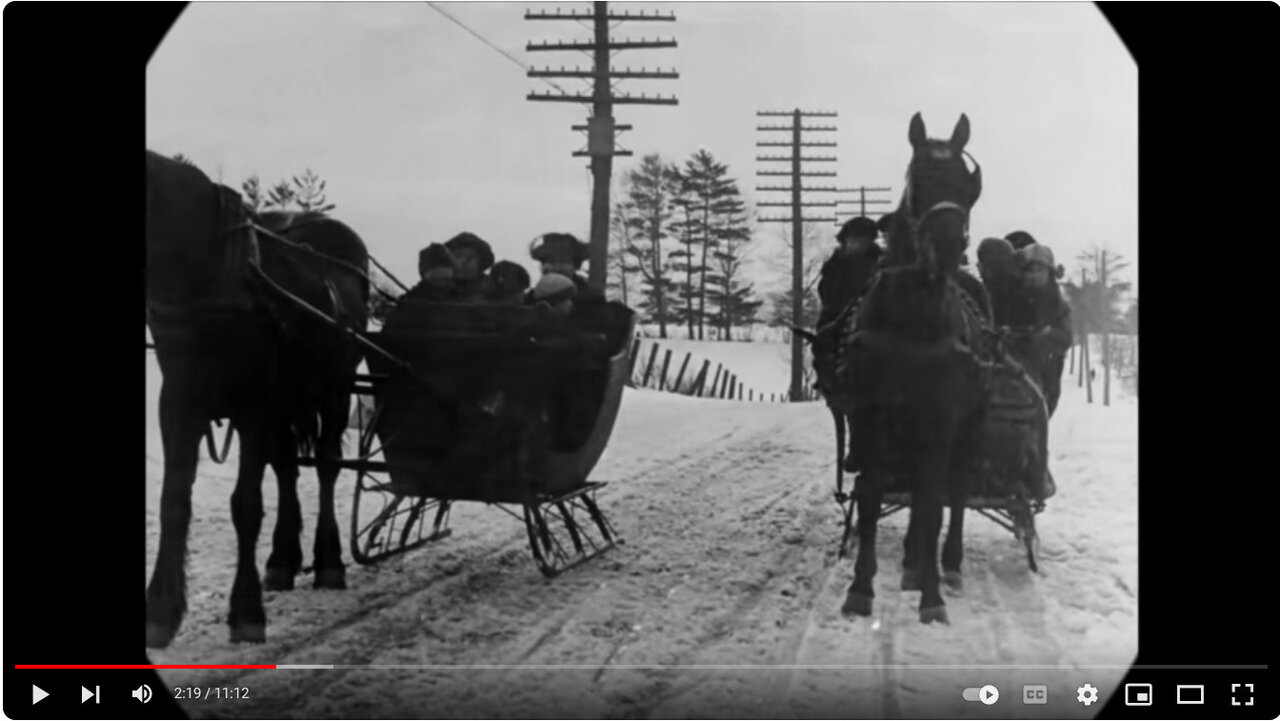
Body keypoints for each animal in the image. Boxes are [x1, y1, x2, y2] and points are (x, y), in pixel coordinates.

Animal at [145, 150, 369, 647]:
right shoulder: (179, 403)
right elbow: (173, 502)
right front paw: (161, 610)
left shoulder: (254, 405)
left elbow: (245, 504)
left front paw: (246, 610)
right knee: (286, 468)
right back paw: (282, 560)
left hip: (335, 389)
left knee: (326, 466)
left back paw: (329, 562)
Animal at [836, 113, 992, 624]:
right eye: (916, 179)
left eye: (968, 185)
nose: (947, 246)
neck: (912, 311)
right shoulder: (871, 410)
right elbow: (871, 493)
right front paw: (860, 588)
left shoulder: (941, 413)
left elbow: (931, 499)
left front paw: (932, 596)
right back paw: (909, 563)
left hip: (968, 424)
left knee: (952, 490)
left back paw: (947, 565)